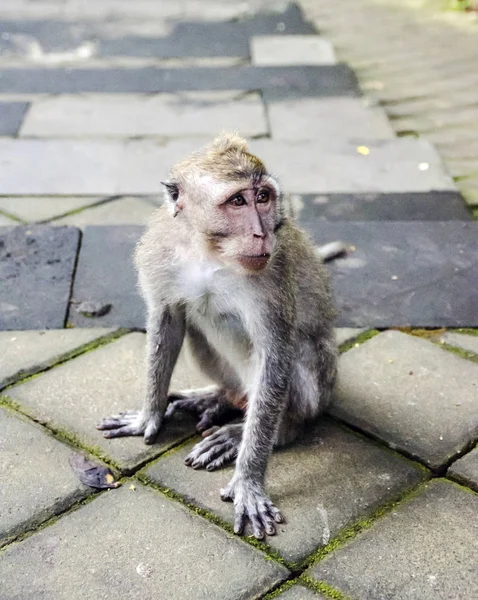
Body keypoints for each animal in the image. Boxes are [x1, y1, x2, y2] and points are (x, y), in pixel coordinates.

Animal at [96, 134, 336, 540]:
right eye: (238, 201)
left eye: (263, 197)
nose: (262, 232)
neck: (208, 252)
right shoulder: (160, 253)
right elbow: (167, 322)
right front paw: (148, 416)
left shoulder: (272, 276)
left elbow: (275, 354)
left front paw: (249, 482)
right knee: (198, 328)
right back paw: (218, 398)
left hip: (321, 387)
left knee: (298, 354)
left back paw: (265, 429)